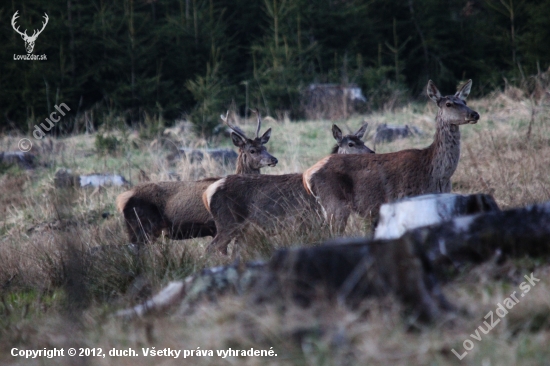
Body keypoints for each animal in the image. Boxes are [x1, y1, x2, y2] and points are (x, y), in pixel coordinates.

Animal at [118, 111, 278, 249]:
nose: (274, 159)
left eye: (265, 147)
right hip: (141, 227)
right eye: (252, 150)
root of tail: (121, 199)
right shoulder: (216, 226)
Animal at [205, 122, 378, 254]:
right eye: (351, 144)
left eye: (363, 142)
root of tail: (207, 194)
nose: (372, 152)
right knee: (211, 248)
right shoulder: (307, 220)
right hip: (227, 223)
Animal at [304, 79, 480, 232]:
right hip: (335, 204)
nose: (474, 114)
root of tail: (307, 176)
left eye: (464, 101)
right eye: (449, 104)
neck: (437, 175)